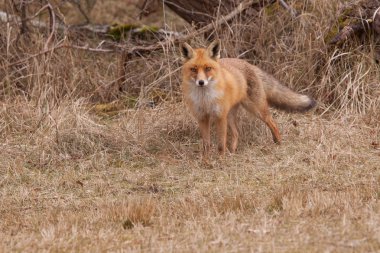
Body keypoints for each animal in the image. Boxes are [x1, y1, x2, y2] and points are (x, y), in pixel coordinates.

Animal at [180, 39, 316, 158]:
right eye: (193, 69)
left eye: (208, 68)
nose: (201, 82)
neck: (205, 99)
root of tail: (248, 64)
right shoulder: (202, 117)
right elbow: (206, 145)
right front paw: (206, 161)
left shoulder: (220, 116)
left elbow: (220, 145)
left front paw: (220, 161)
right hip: (231, 115)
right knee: (236, 133)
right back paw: (232, 152)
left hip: (257, 109)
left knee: (272, 122)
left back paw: (279, 143)